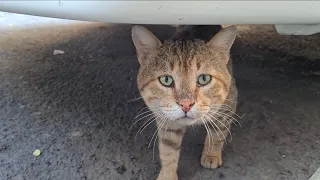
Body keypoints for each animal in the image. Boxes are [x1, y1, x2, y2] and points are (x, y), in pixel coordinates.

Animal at [131, 24, 239, 180]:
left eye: (204, 79)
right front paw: (167, 176)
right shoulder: (167, 120)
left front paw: (211, 154)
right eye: (166, 80)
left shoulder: (227, 107)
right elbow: (168, 152)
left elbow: (217, 134)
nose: (186, 104)